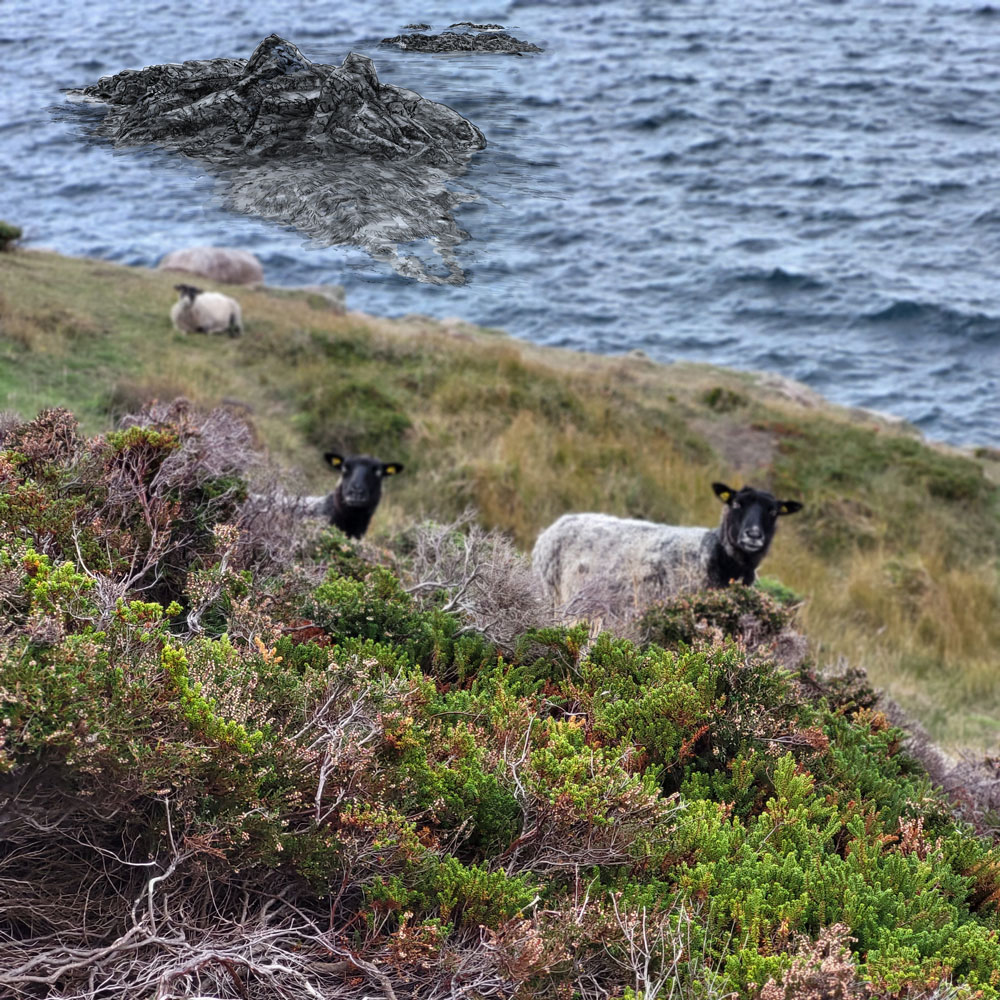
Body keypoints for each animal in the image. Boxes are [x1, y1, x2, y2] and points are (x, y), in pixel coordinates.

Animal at [532, 484, 804, 616]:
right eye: (736, 503)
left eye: (773, 511)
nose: (753, 535)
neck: (715, 554)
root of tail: (552, 527)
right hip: (549, 592)